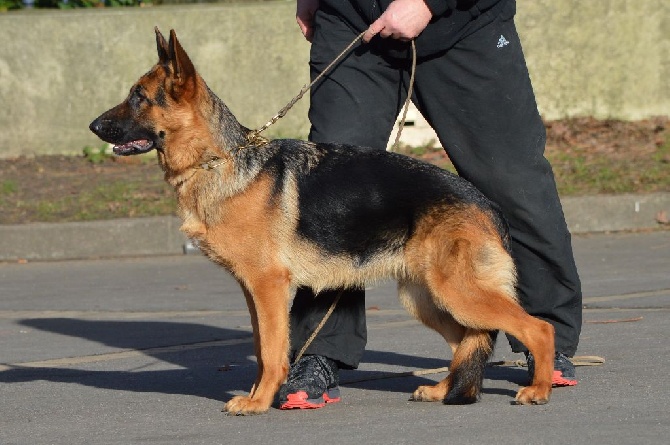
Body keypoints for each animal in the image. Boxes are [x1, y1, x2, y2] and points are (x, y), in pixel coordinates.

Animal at [92, 29, 560, 414]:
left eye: (138, 97)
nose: (93, 125)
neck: (219, 161)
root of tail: (486, 203)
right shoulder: (253, 292)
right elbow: (262, 348)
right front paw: (261, 394)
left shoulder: (268, 288)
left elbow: (274, 351)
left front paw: (259, 402)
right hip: (426, 298)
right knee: (467, 339)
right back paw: (443, 389)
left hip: (457, 292)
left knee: (537, 327)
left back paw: (539, 388)